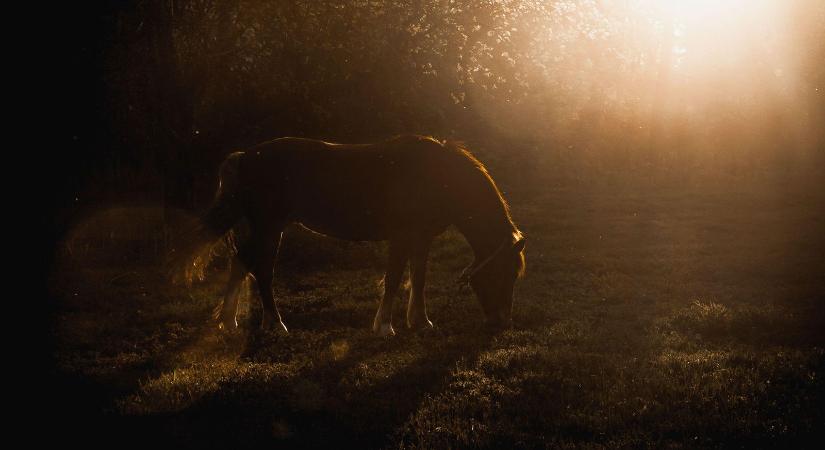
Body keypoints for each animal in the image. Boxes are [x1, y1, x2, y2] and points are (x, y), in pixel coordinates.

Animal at [171, 135, 524, 336]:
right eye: (504, 273)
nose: (503, 323)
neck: (436, 176)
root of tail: (245, 156)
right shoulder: (401, 237)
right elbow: (394, 278)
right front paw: (385, 326)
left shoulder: (421, 239)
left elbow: (418, 278)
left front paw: (421, 322)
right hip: (270, 228)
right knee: (262, 271)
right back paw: (276, 324)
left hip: (266, 229)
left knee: (242, 264)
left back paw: (231, 322)